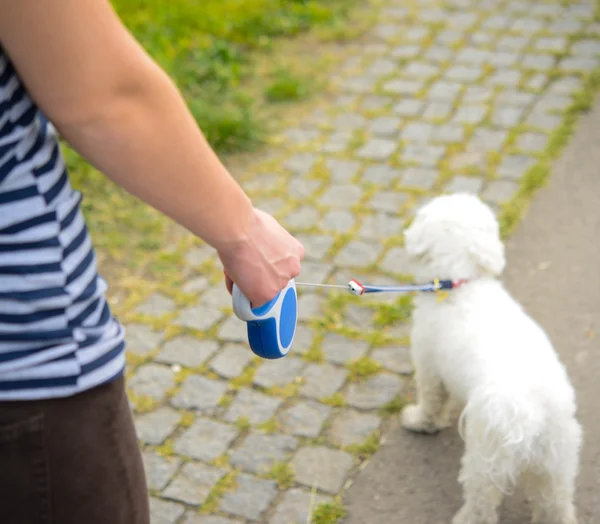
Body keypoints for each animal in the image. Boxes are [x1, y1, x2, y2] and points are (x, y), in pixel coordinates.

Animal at [398, 193, 580, 524]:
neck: (460, 284)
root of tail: (530, 414)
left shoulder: (429, 367)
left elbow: (431, 402)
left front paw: (419, 422)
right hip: (558, 463)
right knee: (554, 505)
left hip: (486, 457)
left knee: (482, 503)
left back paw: (465, 518)